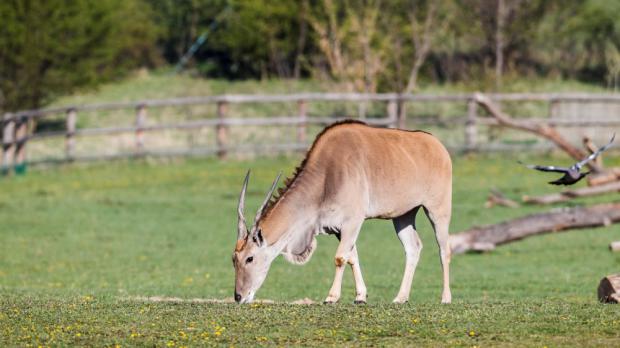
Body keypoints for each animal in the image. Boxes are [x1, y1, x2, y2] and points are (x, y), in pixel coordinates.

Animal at [232, 120, 450, 304]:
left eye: (250, 258)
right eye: (234, 260)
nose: (238, 296)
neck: (326, 175)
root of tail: (438, 145)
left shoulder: (353, 221)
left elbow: (340, 257)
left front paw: (332, 297)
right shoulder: (338, 228)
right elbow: (352, 257)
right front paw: (360, 297)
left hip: (437, 211)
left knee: (444, 249)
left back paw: (445, 298)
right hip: (403, 215)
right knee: (413, 248)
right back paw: (400, 298)